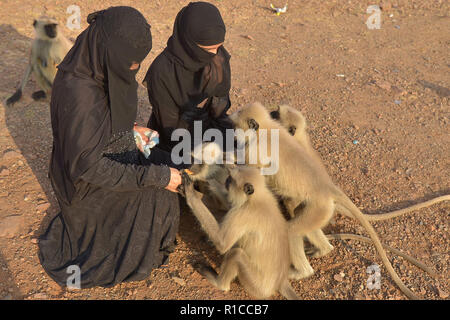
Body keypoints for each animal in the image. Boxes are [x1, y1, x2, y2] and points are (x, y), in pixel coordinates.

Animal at [179, 165, 298, 300]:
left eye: (231, 179)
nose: (226, 181)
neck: (256, 197)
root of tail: (281, 281)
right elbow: (228, 204)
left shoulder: (243, 213)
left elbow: (222, 243)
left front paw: (191, 194)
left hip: (257, 286)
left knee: (236, 254)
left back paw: (219, 283)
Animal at [230, 102, 448, 300]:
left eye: (276, 113)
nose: (272, 112)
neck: (267, 129)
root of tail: (326, 186)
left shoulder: (255, 149)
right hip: (320, 209)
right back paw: (323, 249)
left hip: (318, 207)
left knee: (292, 231)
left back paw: (302, 271)